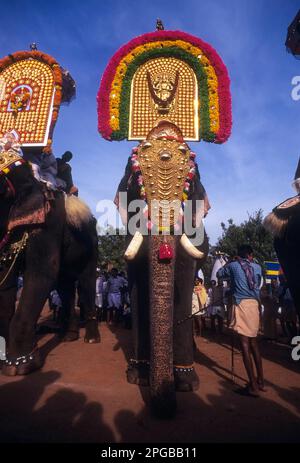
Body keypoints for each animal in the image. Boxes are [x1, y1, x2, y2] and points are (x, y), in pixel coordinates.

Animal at [0, 152, 101, 376]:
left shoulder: (49, 220)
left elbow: (42, 273)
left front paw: (21, 366)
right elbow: (5, 280)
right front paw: (7, 363)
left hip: (92, 245)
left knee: (86, 282)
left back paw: (91, 339)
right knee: (64, 286)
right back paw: (69, 336)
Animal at [115, 121, 209, 418]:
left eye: (189, 186)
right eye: (136, 187)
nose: (166, 411)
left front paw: (187, 384)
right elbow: (137, 290)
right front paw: (138, 377)